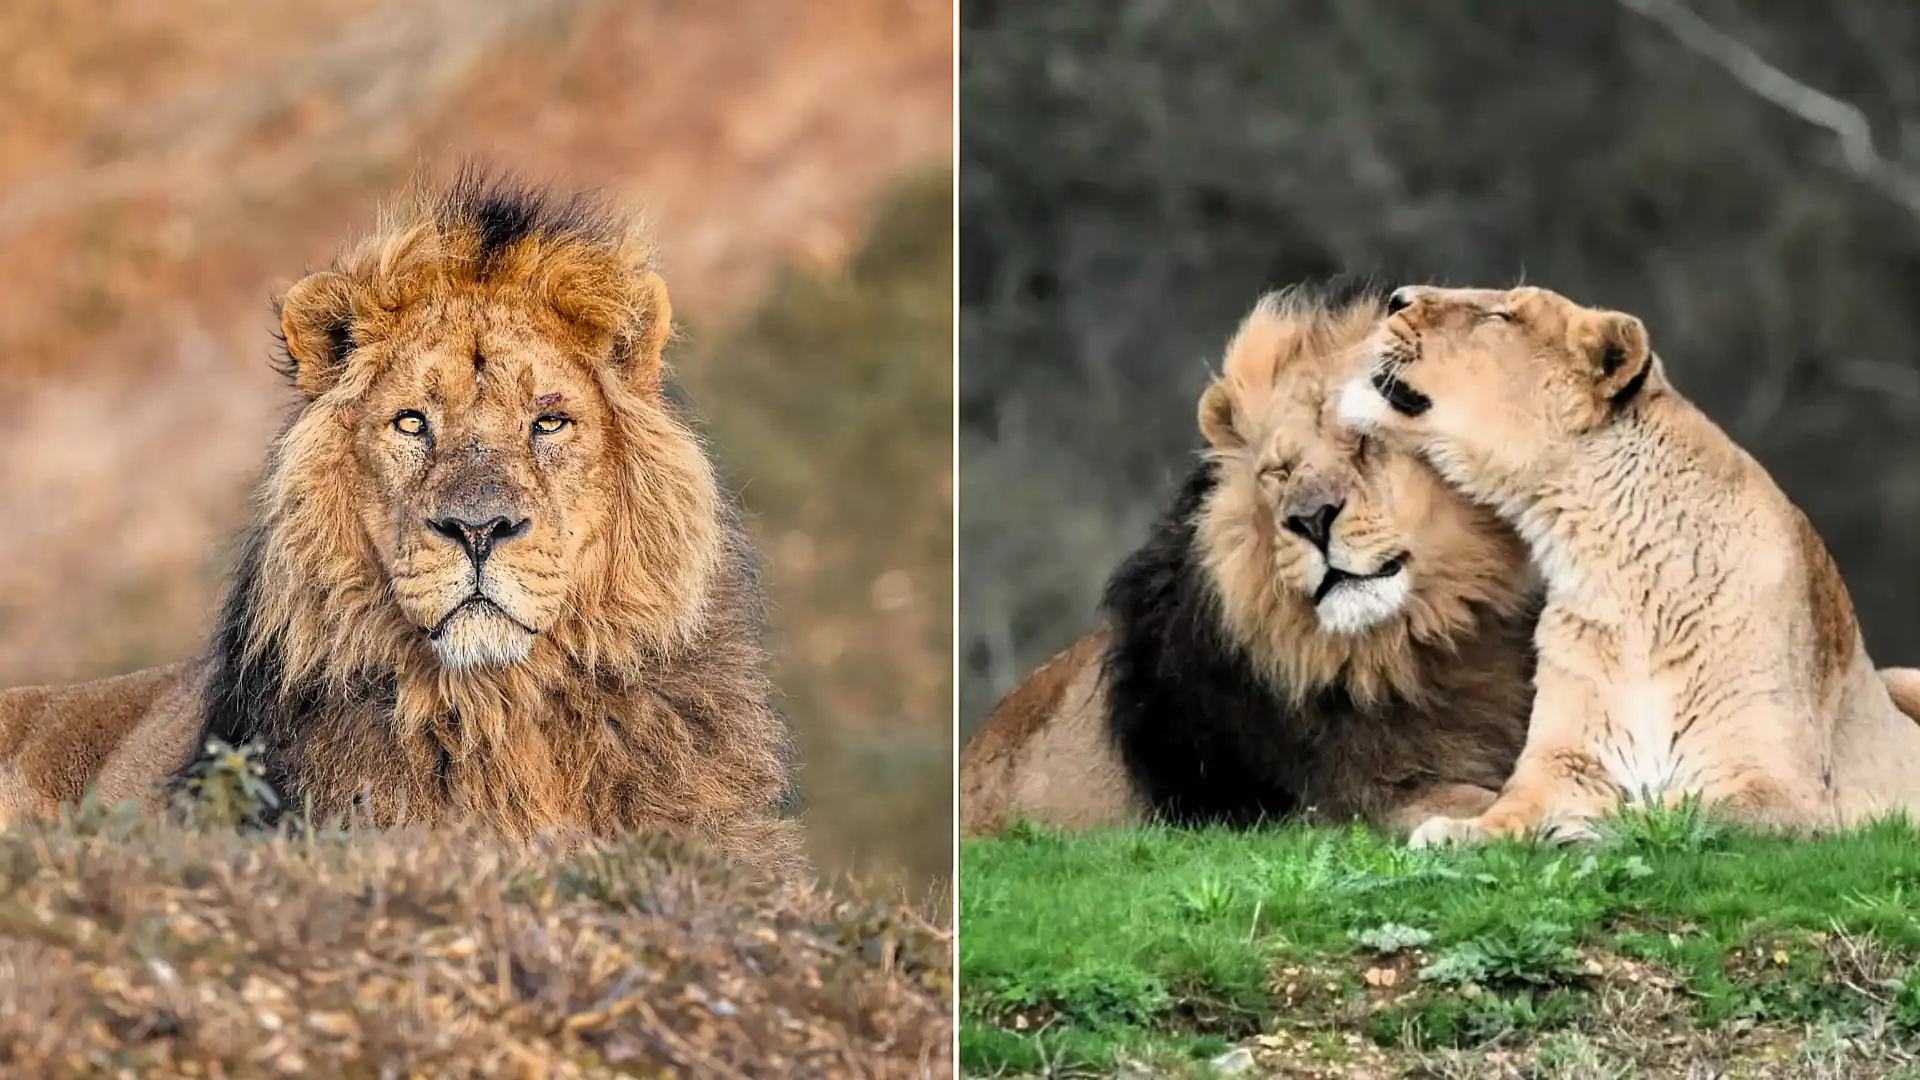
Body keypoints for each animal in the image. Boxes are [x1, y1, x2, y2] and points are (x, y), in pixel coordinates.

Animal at [1337, 283, 1920, 846]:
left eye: (1500, 316)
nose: (1395, 298)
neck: (1615, 569)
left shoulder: (1785, 789)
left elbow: (1678, 810)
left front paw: (1581, 827)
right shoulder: (1567, 759)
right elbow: (1514, 806)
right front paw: (1461, 832)